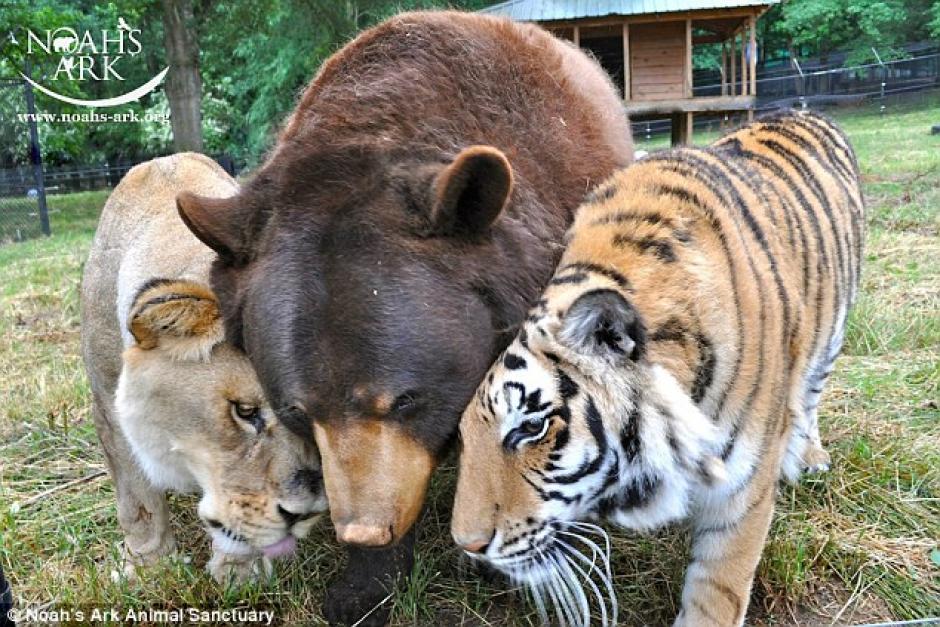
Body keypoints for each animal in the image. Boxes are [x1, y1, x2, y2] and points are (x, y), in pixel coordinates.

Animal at [451, 110, 864, 626]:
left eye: (531, 427)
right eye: (464, 435)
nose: (467, 546)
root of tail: (803, 110)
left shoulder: (742, 492)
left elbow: (717, 592)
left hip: (831, 336)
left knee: (809, 396)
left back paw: (808, 456)